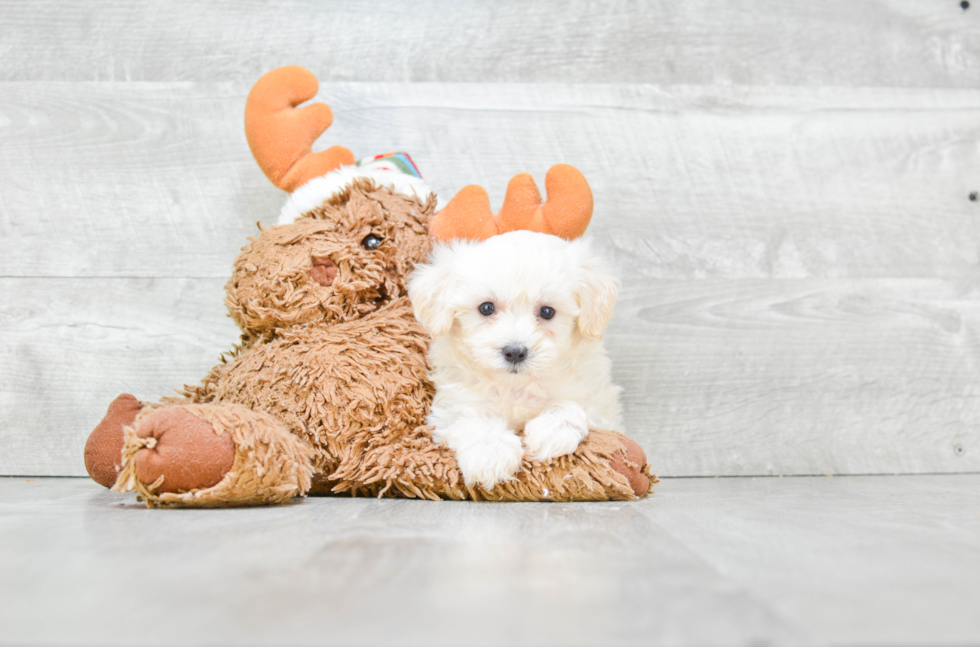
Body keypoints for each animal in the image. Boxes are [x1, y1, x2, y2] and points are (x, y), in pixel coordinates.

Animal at [408, 230, 624, 488]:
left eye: (547, 312)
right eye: (487, 308)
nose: (514, 351)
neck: (517, 386)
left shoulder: (601, 404)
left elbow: (575, 404)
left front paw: (553, 430)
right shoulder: (453, 403)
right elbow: (471, 417)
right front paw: (490, 453)